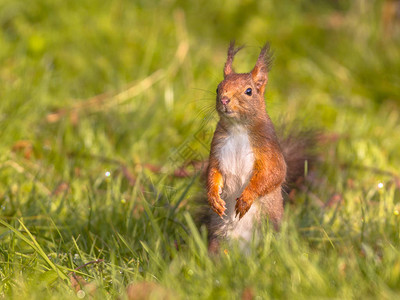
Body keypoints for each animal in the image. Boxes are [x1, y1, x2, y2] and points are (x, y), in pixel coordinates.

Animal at [203, 41, 312, 250]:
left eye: (249, 91)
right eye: (218, 88)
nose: (224, 99)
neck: (238, 128)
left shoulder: (268, 148)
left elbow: (274, 173)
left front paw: (246, 198)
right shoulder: (217, 149)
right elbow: (213, 171)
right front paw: (214, 198)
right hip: (219, 240)